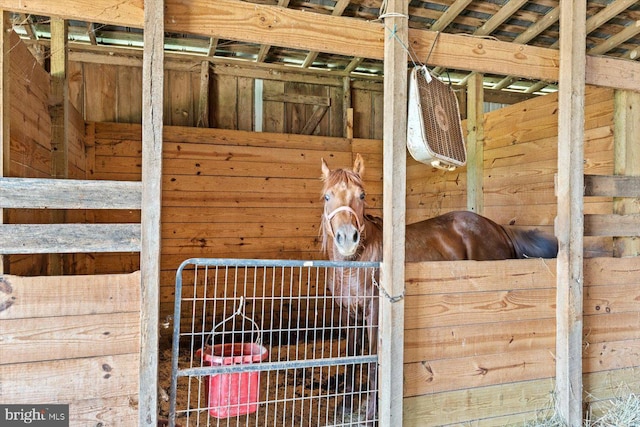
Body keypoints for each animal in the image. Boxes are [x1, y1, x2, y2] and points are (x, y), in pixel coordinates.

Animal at [318, 153, 556, 422]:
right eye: (327, 196)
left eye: (362, 195)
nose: (347, 238)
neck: (355, 263)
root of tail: (498, 228)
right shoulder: (349, 313)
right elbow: (352, 356)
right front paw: (345, 406)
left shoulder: (375, 312)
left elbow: (373, 360)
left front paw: (371, 414)